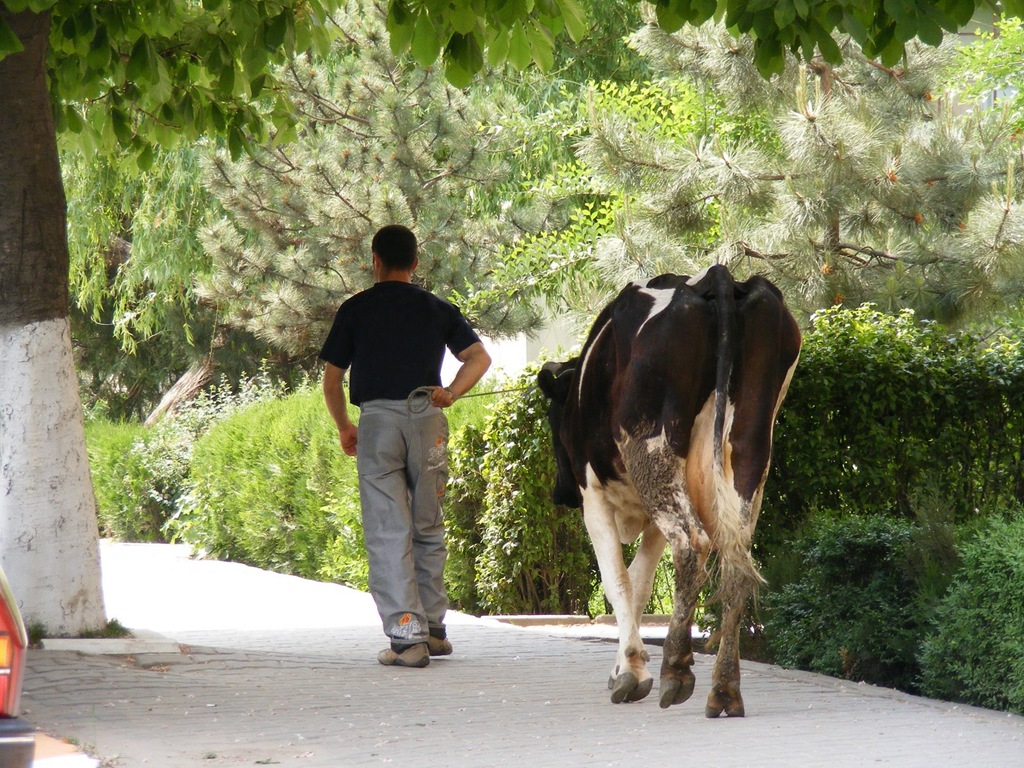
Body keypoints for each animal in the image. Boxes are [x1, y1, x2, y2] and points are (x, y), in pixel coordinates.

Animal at [537, 265, 801, 717]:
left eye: (554, 418)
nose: (560, 493)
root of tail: (715, 277)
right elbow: (641, 582)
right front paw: (626, 666)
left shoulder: (594, 495)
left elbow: (619, 580)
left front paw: (629, 672)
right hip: (748, 454)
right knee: (736, 559)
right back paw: (724, 688)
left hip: (653, 451)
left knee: (693, 543)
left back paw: (676, 670)